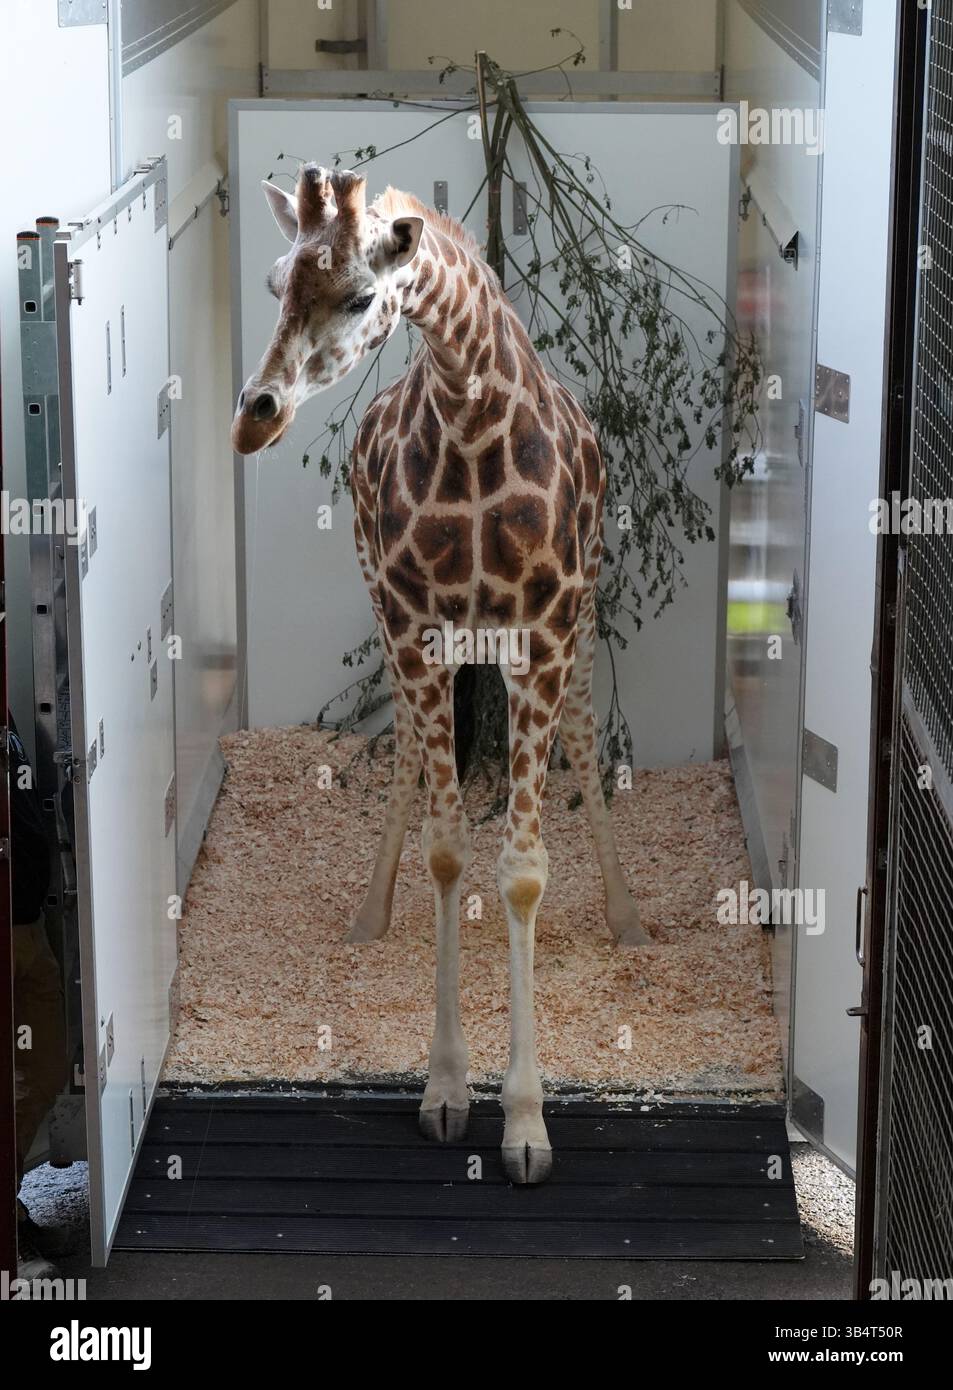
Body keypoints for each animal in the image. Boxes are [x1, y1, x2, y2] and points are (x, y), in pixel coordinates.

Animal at [232, 164, 650, 1184]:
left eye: (358, 295)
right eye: (274, 283)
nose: (255, 417)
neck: (468, 419)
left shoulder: (544, 636)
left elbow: (524, 872)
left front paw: (527, 1122)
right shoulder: (417, 631)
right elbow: (449, 850)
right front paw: (448, 1088)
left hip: (577, 619)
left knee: (583, 737)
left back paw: (625, 918)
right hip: (390, 616)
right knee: (415, 764)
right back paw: (369, 914)